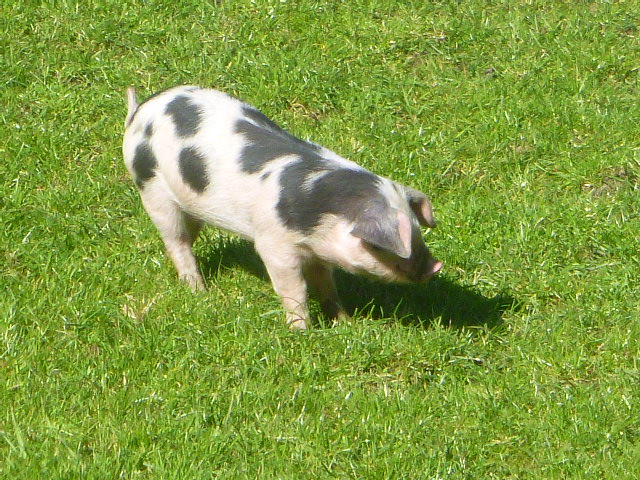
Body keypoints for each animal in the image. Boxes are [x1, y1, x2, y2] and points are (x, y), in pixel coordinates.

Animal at [122, 86, 442, 329]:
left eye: (417, 230)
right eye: (379, 245)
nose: (435, 266)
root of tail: (140, 112)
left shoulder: (317, 251)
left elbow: (326, 283)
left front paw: (343, 321)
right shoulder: (273, 243)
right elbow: (293, 289)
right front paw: (302, 331)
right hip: (152, 191)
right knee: (176, 242)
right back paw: (199, 291)